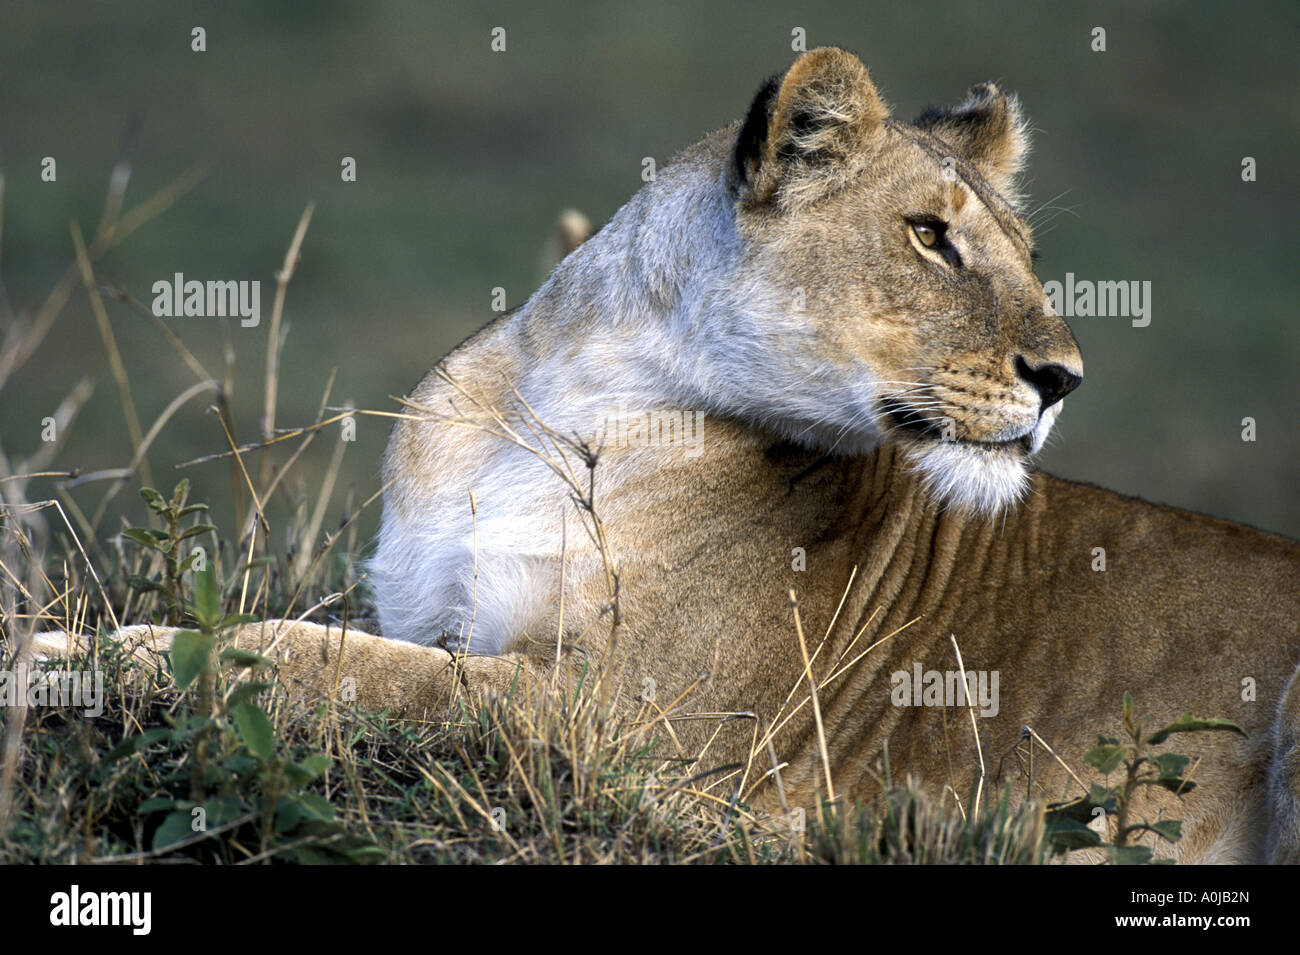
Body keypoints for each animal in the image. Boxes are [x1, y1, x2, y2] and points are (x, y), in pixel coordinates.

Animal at [30, 48, 1300, 863]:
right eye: (929, 237)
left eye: (1023, 252)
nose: (1063, 379)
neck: (570, 402)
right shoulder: (447, 620)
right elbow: (339, 652)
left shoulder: (630, 723)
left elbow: (307, 659)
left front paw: (66, 655)